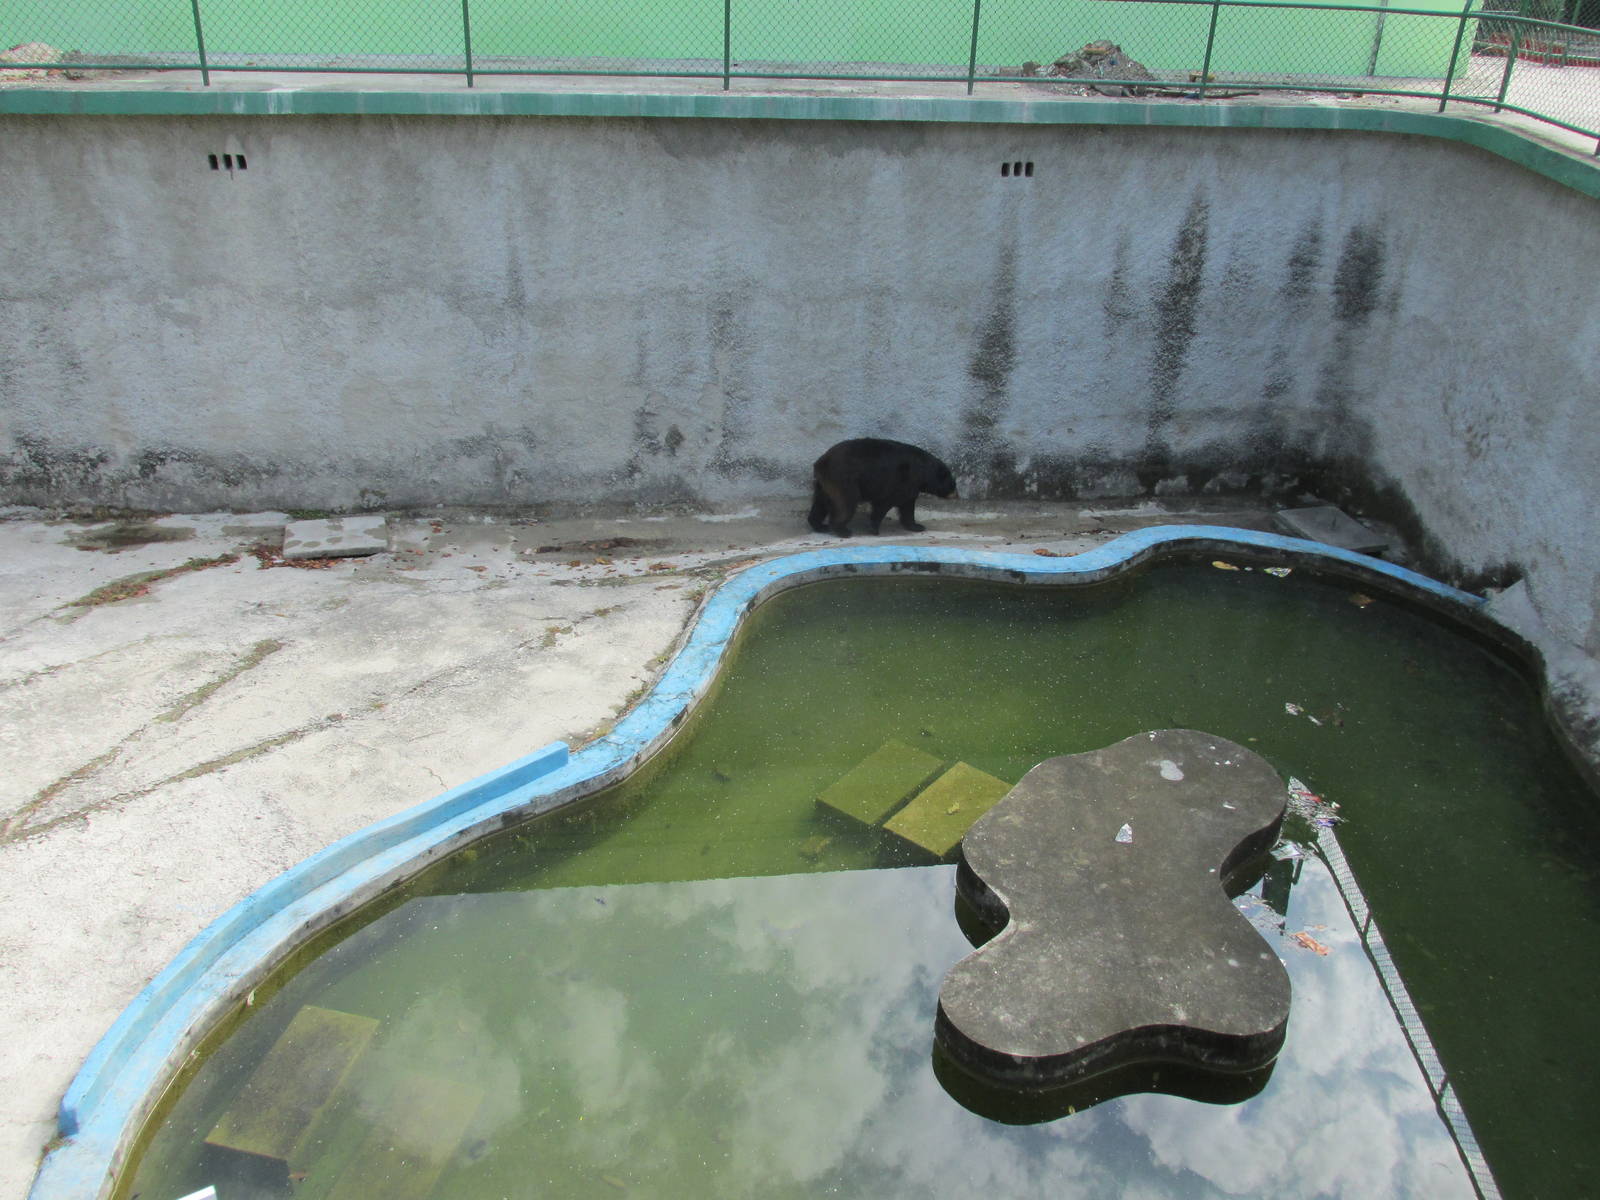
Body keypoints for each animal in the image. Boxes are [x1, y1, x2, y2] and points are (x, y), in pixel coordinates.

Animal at [807, 438, 959, 538]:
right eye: (953, 484)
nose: (957, 495)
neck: (923, 473)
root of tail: (820, 463)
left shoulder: (911, 487)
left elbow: (907, 506)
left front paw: (917, 526)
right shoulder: (901, 481)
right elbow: (885, 503)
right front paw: (874, 529)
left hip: (824, 484)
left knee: (820, 503)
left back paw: (820, 525)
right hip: (844, 480)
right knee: (846, 503)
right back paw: (843, 530)